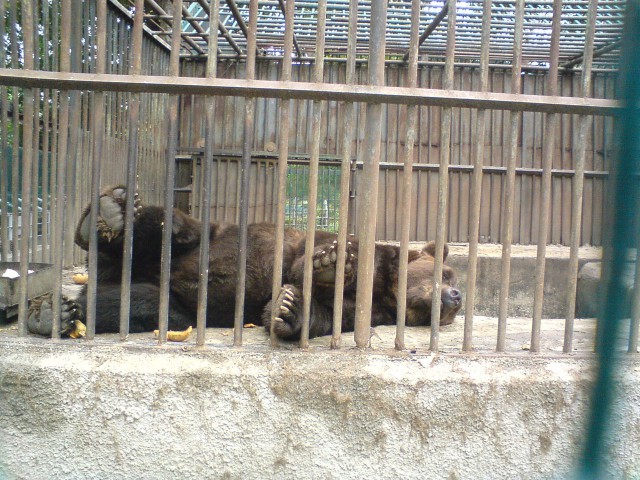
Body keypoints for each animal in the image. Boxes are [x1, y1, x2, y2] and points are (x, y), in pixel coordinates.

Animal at [28, 186, 460, 340]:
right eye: (448, 273)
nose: (455, 298)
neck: (386, 287)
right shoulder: (348, 246)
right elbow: (311, 259)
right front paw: (333, 263)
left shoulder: (371, 312)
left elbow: (325, 313)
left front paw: (288, 310)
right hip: (203, 237)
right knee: (170, 225)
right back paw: (107, 216)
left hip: (172, 302)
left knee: (133, 302)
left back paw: (54, 314)